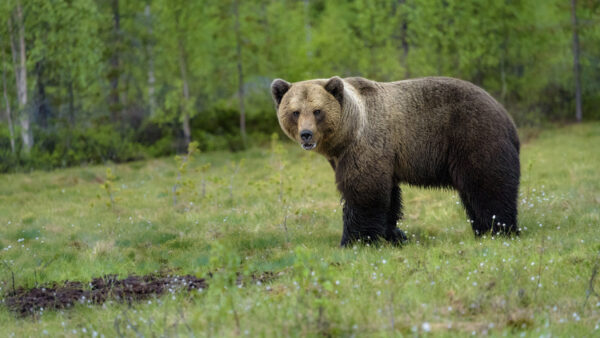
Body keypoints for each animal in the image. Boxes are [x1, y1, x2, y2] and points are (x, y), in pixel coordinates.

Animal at [270, 76, 516, 246]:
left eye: (317, 110)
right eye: (295, 112)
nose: (306, 134)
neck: (346, 136)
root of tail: (503, 112)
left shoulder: (366, 145)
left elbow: (364, 191)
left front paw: (354, 240)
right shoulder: (363, 157)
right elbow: (389, 197)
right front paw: (396, 235)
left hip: (473, 136)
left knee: (488, 185)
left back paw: (500, 229)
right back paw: (484, 230)